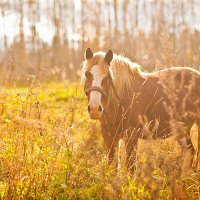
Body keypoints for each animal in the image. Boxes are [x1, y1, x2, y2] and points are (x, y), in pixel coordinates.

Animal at [81, 47, 200, 176]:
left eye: (108, 76)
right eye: (87, 74)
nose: (94, 108)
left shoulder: (131, 135)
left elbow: (130, 166)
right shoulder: (109, 135)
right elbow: (112, 164)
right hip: (183, 130)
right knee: (189, 152)